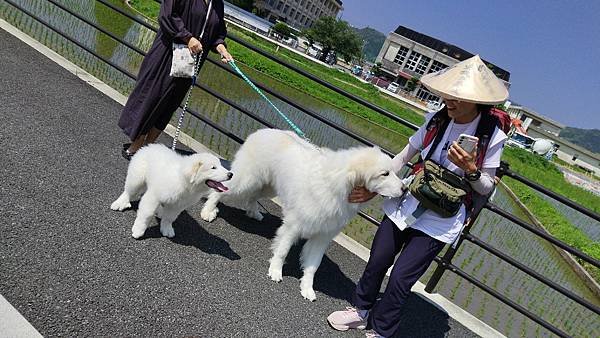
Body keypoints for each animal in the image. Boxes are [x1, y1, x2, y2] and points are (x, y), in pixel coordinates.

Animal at [200, 129, 404, 302]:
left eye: (394, 172)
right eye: (385, 174)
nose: (404, 189)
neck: (337, 186)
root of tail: (263, 131)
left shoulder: (322, 236)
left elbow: (313, 265)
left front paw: (307, 289)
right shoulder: (295, 224)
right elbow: (282, 250)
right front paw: (275, 271)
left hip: (268, 186)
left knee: (253, 196)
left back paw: (253, 212)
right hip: (247, 180)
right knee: (223, 190)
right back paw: (208, 211)